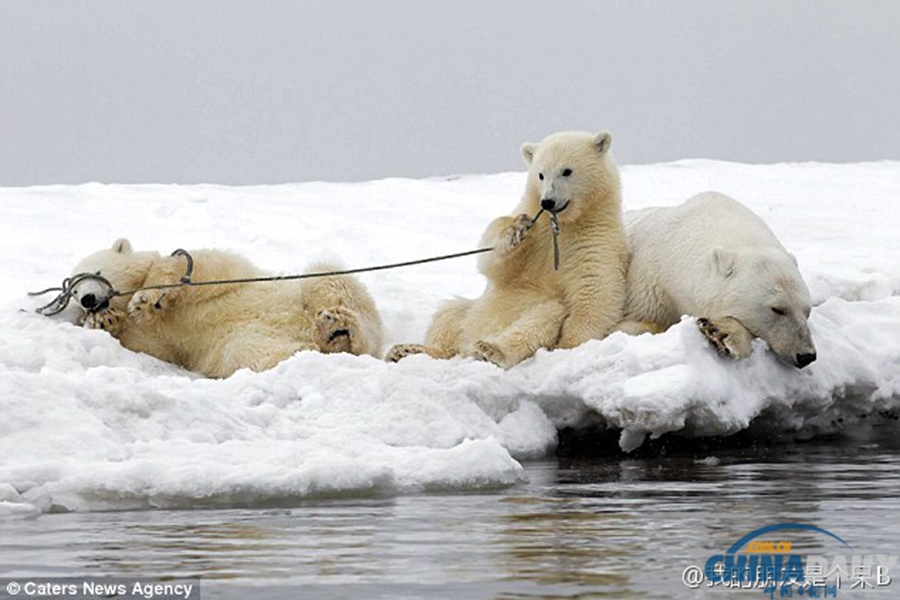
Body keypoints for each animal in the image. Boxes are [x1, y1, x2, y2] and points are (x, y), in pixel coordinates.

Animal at [67, 238, 384, 376]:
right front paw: (106, 320)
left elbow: (189, 265)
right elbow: (151, 345)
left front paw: (144, 300)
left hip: (312, 290)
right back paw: (327, 340)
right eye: (73, 291)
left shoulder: (221, 275)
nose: (88, 300)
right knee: (252, 354)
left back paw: (338, 324)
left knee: (331, 280)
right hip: (251, 340)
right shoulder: (160, 340)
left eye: (96, 271)